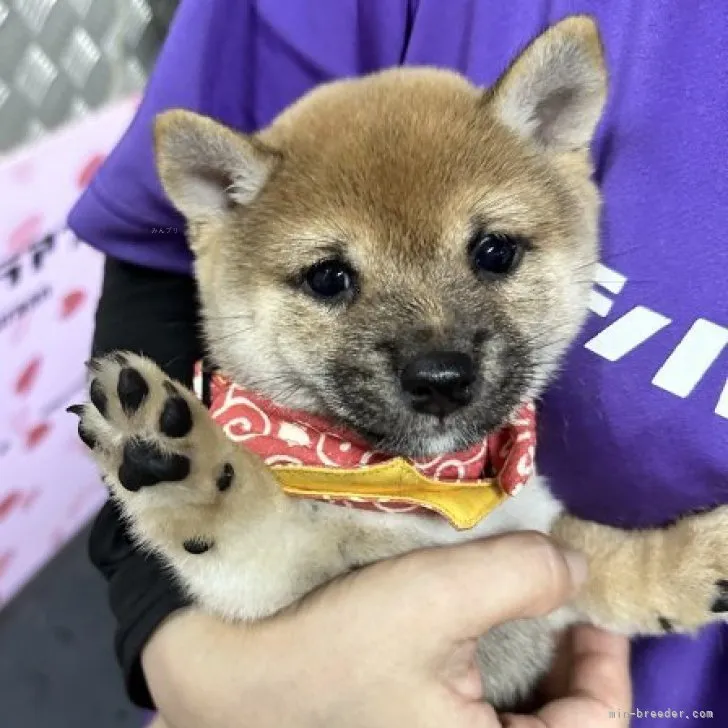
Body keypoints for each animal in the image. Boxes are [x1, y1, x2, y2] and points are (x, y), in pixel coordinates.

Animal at [72, 17, 728, 712]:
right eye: (328, 277)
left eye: (494, 251)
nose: (440, 378)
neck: (425, 490)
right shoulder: (276, 589)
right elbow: (245, 523)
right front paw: (178, 464)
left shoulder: (540, 537)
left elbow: (607, 555)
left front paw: (693, 562)